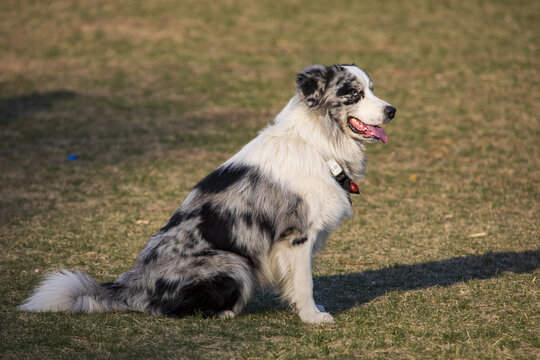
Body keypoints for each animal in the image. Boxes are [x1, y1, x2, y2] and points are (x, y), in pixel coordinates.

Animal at [19, 64, 394, 324]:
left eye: (373, 89)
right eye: (354, 93)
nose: (392, 110)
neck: (319, 143)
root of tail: (132, 284)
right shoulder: (296, 235)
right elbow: (305, 283)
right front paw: (313, 318)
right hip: (234, 263)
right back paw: (225, 313)